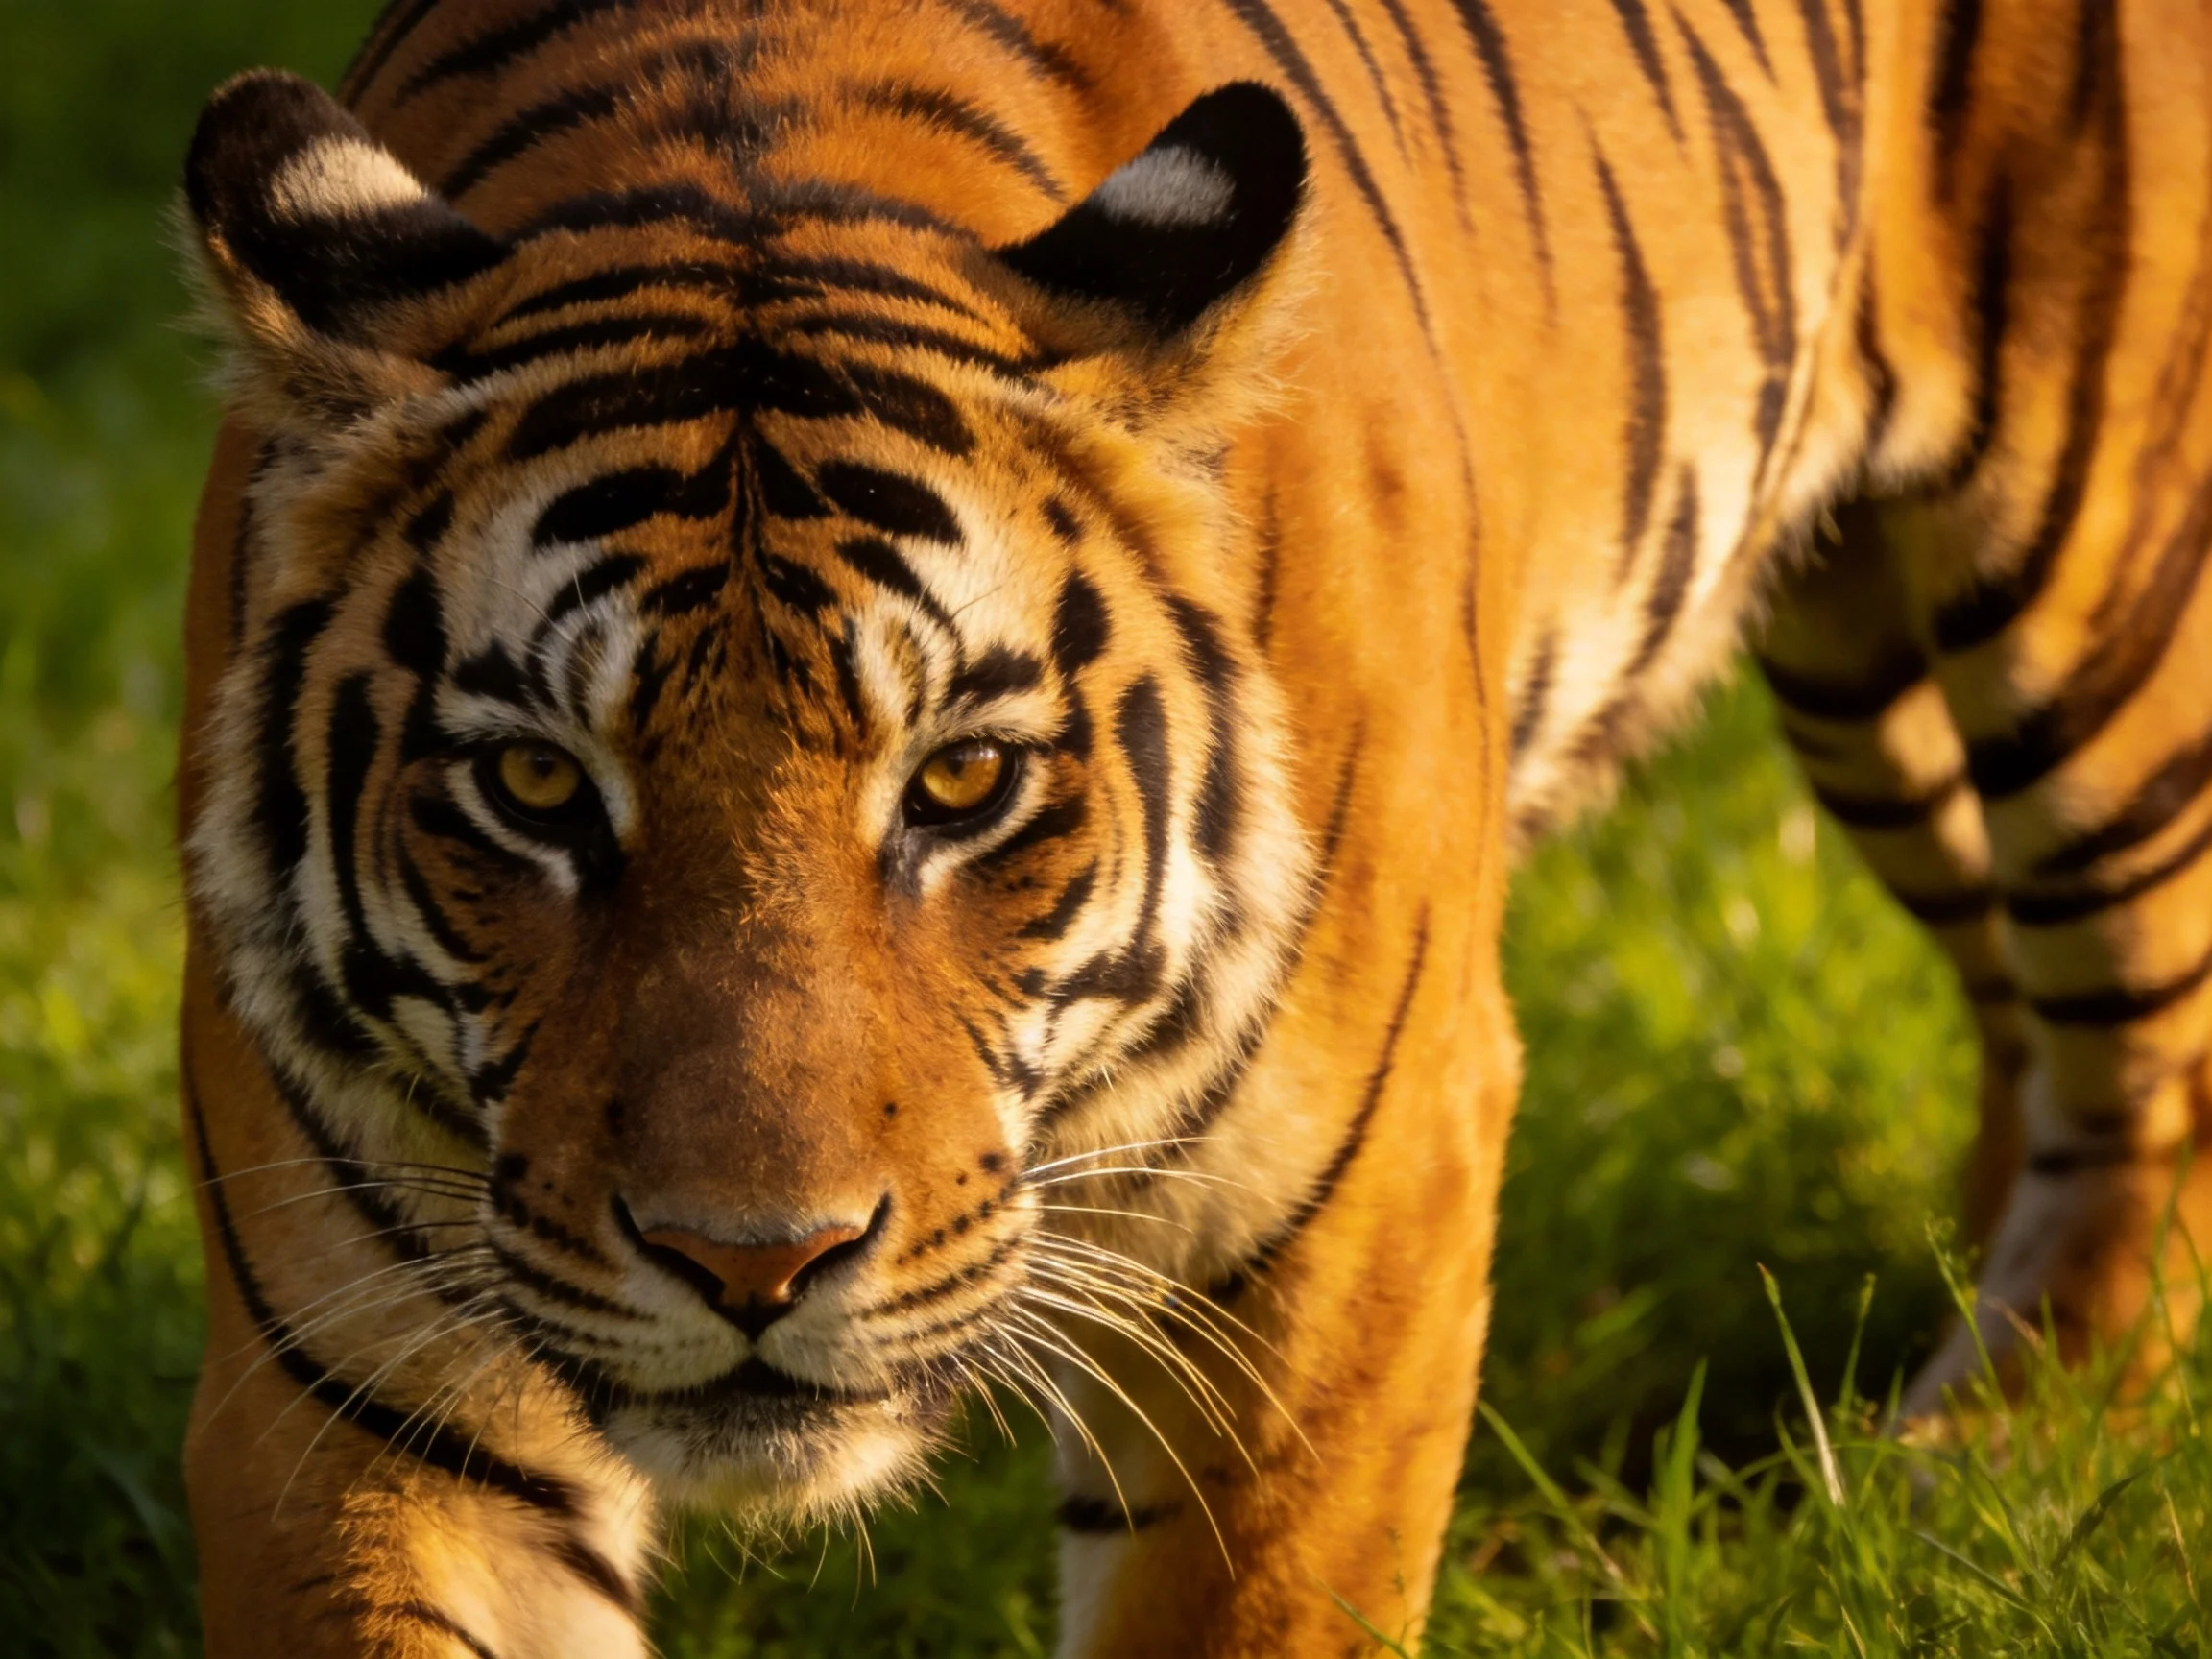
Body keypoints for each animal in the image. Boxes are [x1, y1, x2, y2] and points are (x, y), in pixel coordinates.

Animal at [174, 0, 2212, 1652]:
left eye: (960, 782)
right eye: (535, 785)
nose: (753, 1265)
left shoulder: (1342, 1217)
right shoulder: (361, 1364)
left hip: (2093, 593)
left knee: (2144, 1062)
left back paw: (1981, 1447)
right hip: (1866, 678)